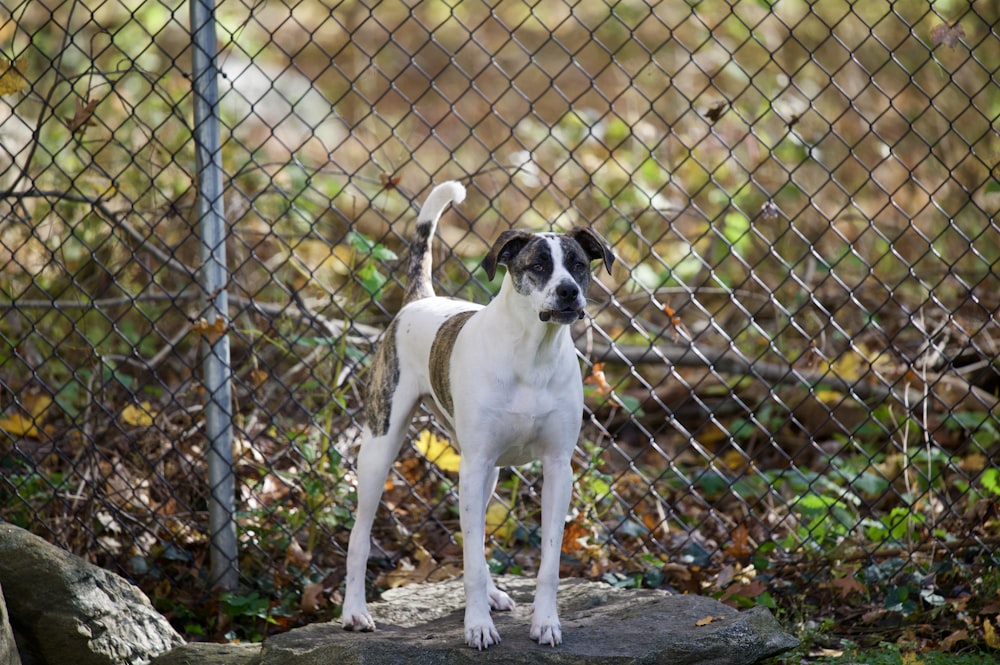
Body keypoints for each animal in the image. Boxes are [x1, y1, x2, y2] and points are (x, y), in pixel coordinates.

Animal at [340, 182, 612, 648]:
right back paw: (355, 611)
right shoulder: (474, 464)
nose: (568, 292)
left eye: (579, 265)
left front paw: (546, 622)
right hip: (381, 449)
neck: (531, 354)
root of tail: (420, 300)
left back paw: (494, 594)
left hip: (488, 475)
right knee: (360, 536)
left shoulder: (557, 468)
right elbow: (469, 561)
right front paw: (477, 625)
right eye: (538, 265)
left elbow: (548, 562)